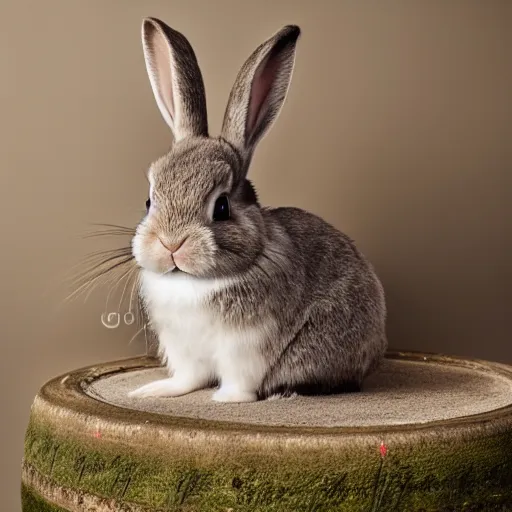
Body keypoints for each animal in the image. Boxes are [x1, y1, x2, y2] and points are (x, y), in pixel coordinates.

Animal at [127, 17, 384, 404]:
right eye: (149, 200)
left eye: (221, 206)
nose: (171, 244)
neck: (192, 283)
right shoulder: (183, 350)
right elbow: (188, 378)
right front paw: (155, 391)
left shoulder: (246, 348)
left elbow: (240, 383)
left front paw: (225, 400)